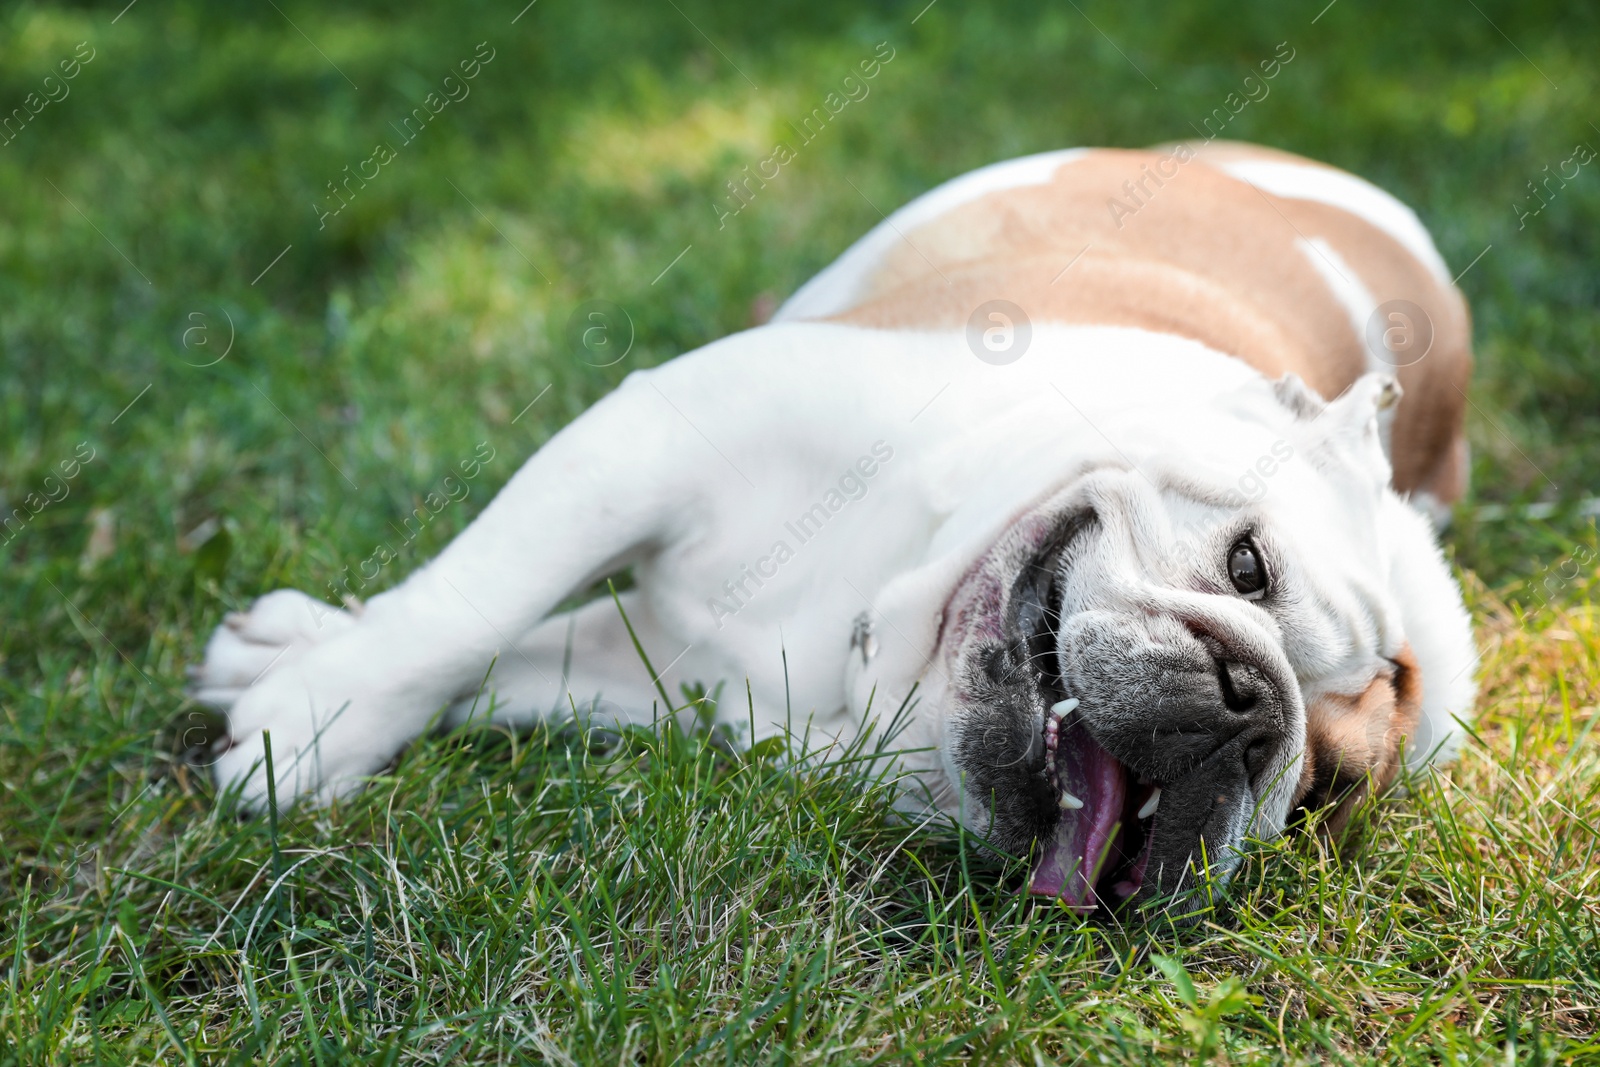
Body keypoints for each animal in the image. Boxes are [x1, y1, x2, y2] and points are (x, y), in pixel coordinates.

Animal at [196, 141, 1472, 921]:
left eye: (1317, 797)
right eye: (1248, 568)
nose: (1247, 713)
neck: (877, 626)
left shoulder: (659, 673)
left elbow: (513, 661)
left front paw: (308, 695)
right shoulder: (647, 442)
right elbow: (473, 608)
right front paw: (318, 715)